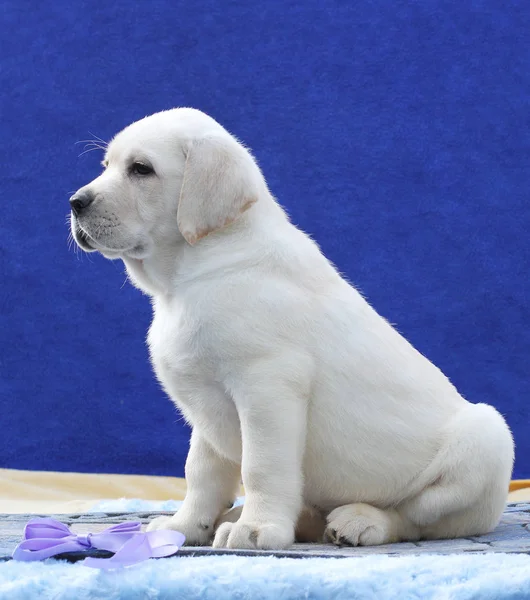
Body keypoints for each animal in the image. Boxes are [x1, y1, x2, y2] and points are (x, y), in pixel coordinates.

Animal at [69, 108, 512, 548]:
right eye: (106, 166)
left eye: (141, 169)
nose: (75, 202)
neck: (186, 278)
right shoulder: (205, 407)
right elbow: (201, 473)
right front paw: (185, 526)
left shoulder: (267, 387)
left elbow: (261, 466)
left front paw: (256, 528)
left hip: (487, 438)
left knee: (415, 518)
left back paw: (359, 521)